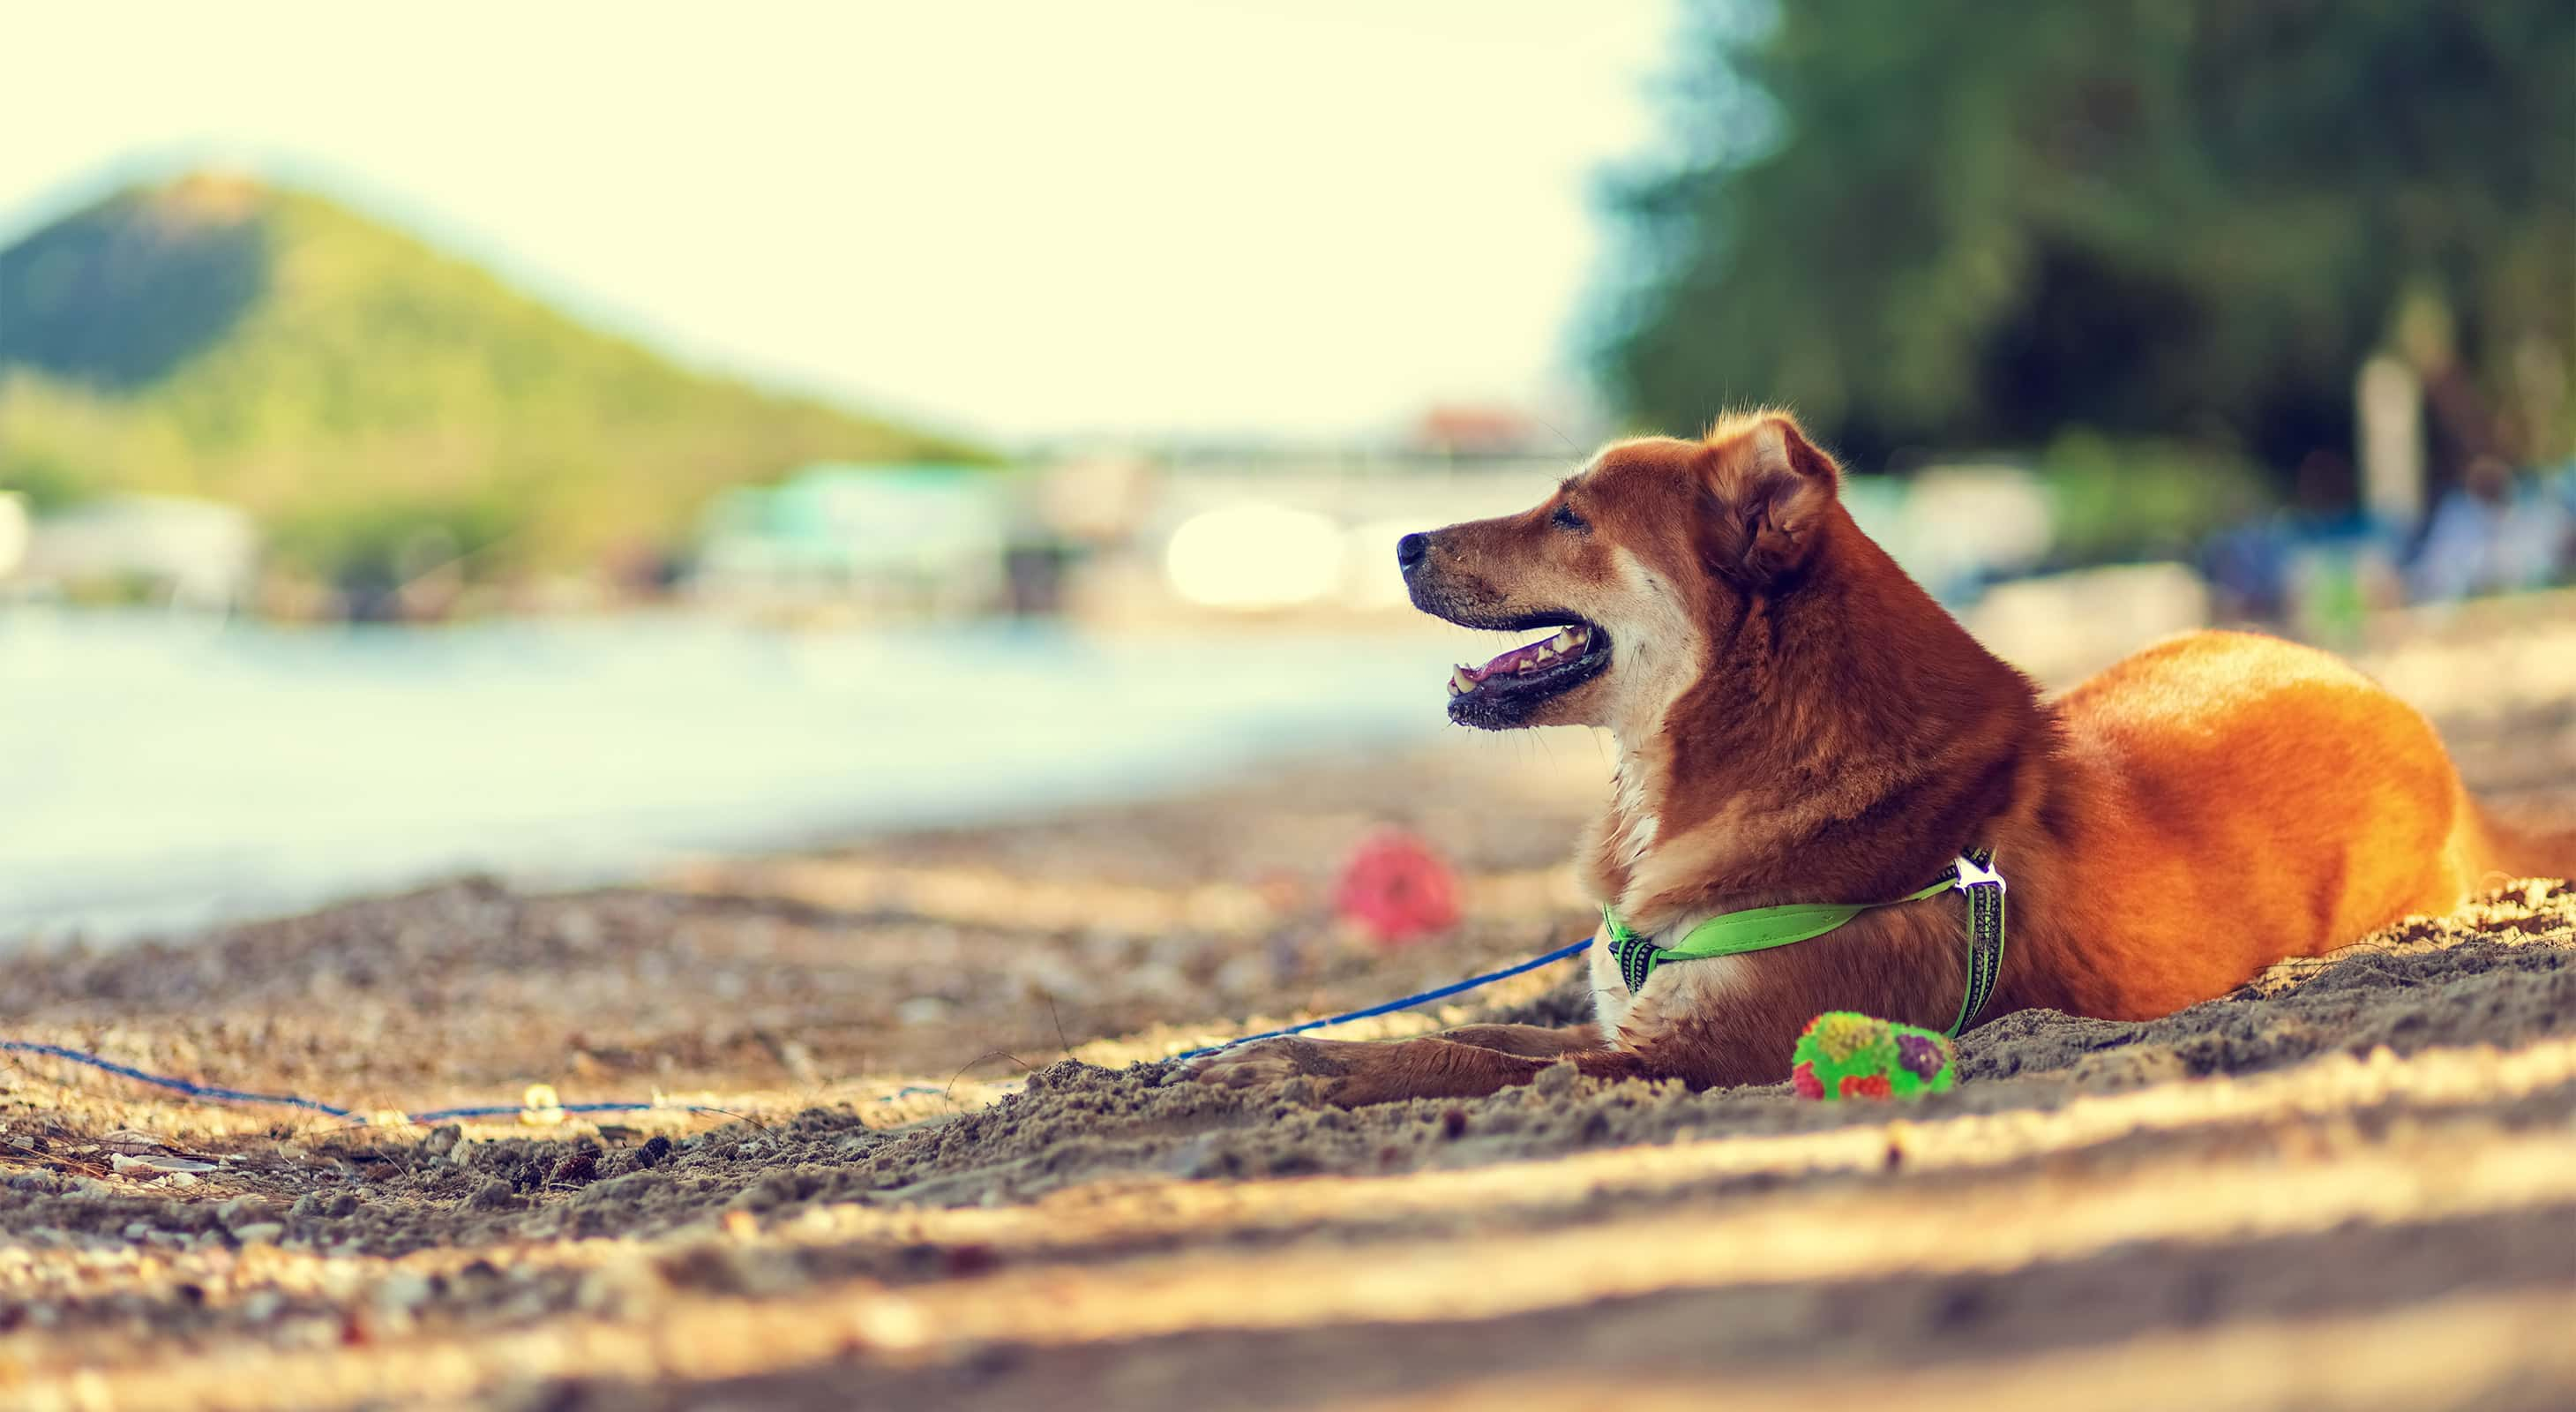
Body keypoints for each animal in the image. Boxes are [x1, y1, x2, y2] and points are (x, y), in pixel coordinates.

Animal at [1190, 407, 2576, 1102]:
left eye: (1571, 514)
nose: (1402, 541)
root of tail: (2436, 748)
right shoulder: (1628, 1019)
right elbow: (1492, 1032)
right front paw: (1277, 1048)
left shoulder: (1699, 1053)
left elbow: (1459, 1053)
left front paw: (1298, 1061)